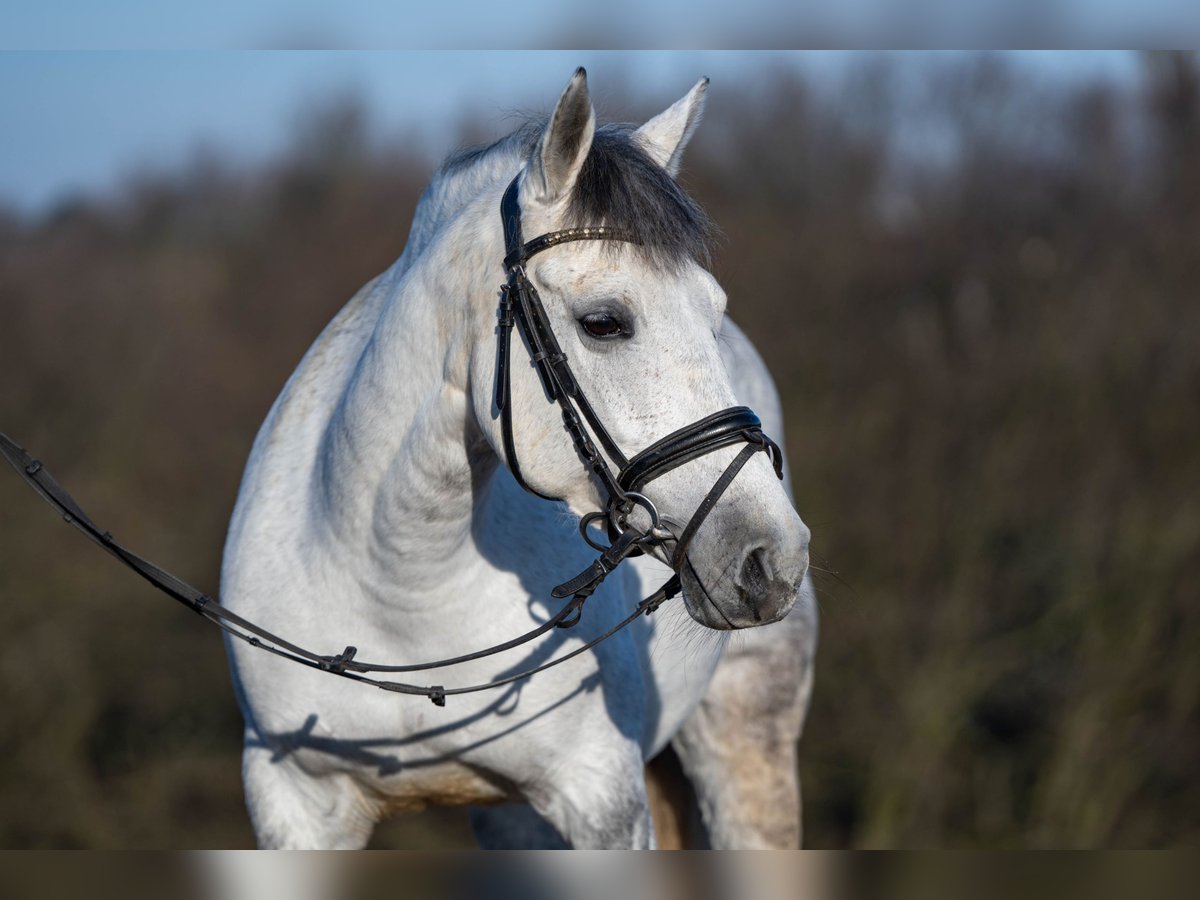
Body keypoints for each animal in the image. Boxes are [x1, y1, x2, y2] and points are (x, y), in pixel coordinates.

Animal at [220, 70, 820, 854]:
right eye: (604, 323)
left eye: (713, 310)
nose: (770, 556)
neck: (398, 590)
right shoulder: (296, 806)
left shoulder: (602, 804)